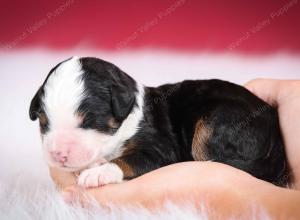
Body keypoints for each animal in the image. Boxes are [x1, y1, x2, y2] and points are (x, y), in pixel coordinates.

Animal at [28, 56, 288, 187]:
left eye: (88, 120)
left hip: (217, 124)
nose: (58, 155)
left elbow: (130, 159)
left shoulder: (160, 149)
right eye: (43, 122)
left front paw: (99, 171)